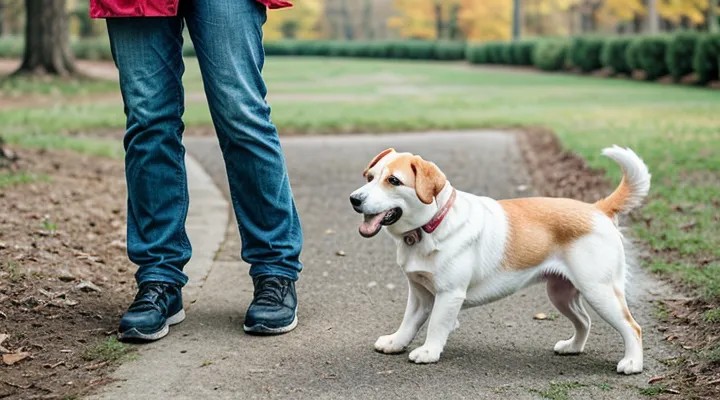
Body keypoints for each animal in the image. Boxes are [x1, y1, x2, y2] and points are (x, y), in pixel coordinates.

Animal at [350, 145, 652, 376]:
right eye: (370, 177)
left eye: (394, 181)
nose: (354, 199)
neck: (433, 225)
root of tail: (597, 209)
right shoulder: (420, 294)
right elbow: (408, 322)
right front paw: (396, 342)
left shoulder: (449, 295)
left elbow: (435, 325)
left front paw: (428, 351)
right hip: (561, 294)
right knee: (584, 321)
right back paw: (573, 347)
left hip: (599, 291)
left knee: (633, 327)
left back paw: (632, 363)